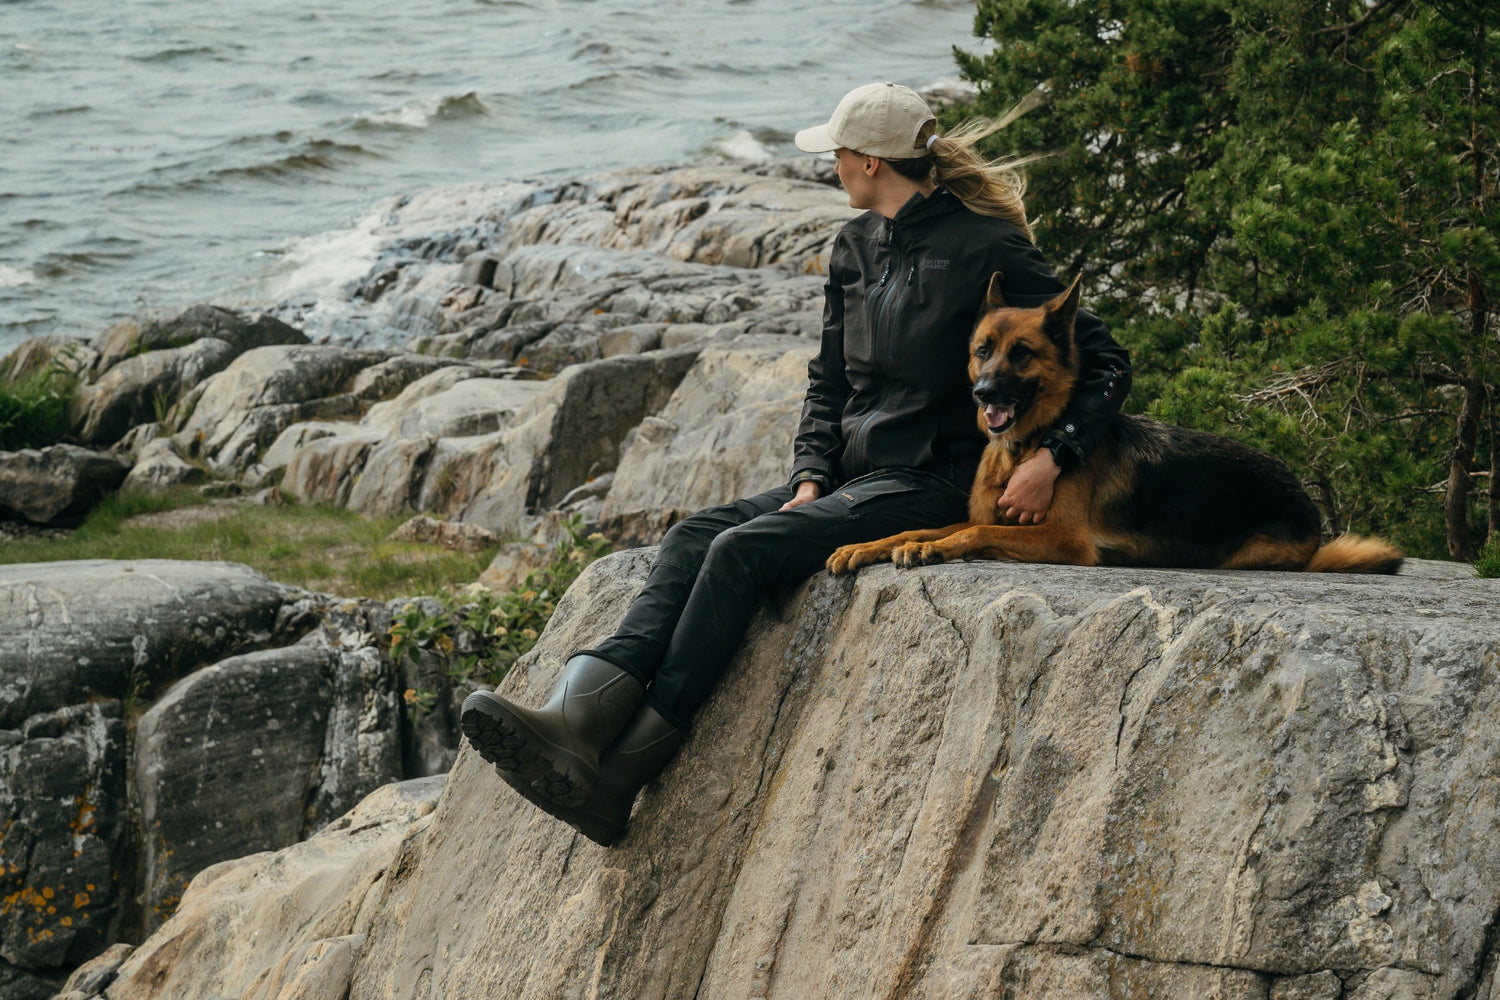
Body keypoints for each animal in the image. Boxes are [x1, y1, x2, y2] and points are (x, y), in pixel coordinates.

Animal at [828, 275, 1398, 578]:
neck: (1030, 444)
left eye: (1022, 353)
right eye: (982, 350)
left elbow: (978, 531)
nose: (983, 394)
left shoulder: (1066, 542)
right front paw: (868, 546)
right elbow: (921, 527)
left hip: (1247, 555)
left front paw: (936, 549)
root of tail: (1309, 506)